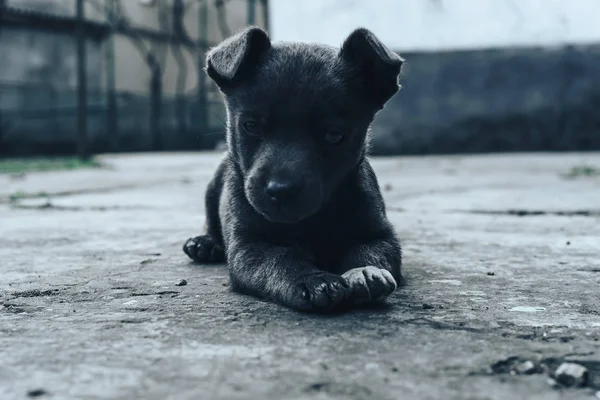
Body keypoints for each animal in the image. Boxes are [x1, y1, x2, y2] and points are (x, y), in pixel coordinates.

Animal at [184, 25, 404, 312]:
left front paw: (365, 272)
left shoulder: (379, 234)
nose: (281, 190)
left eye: (334, 136)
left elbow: (368, 251)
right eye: (250, 126)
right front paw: (312, 280)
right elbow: (280, 258)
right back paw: (205, 243)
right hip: (212, 189)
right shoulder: (249, 246)